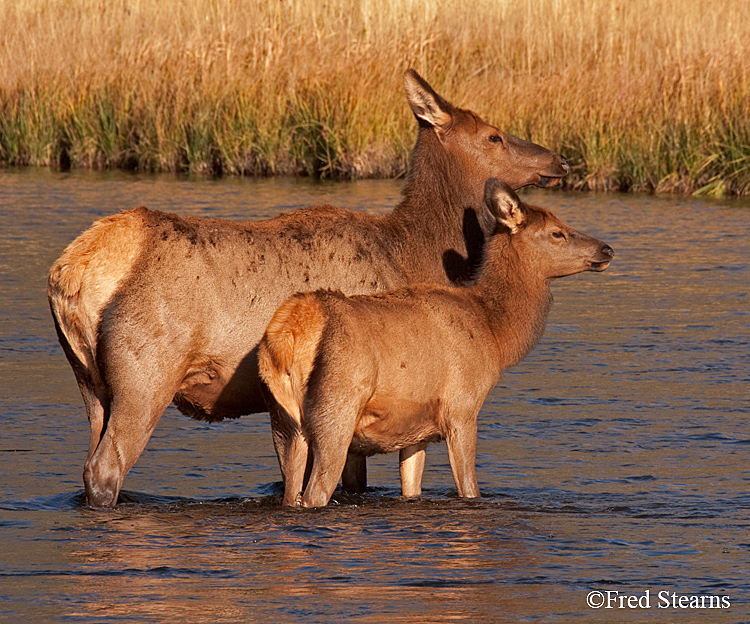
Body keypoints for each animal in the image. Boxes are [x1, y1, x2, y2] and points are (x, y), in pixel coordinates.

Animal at [48, 69, 568, 508]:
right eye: (493, 135)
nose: (560, 158)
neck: (412, 253)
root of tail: (72, 272)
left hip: (89, 382)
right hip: (146, 372)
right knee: (107, 468)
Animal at [258, 179, 612, 508]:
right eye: (557, 233)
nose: (606, 249)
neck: (495, 334)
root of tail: (288, 336)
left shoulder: (415, 430)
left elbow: (412, 488)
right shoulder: (462, 408)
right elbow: (469, 488)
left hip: (285, 424)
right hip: (336, 410)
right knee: (315, 493)